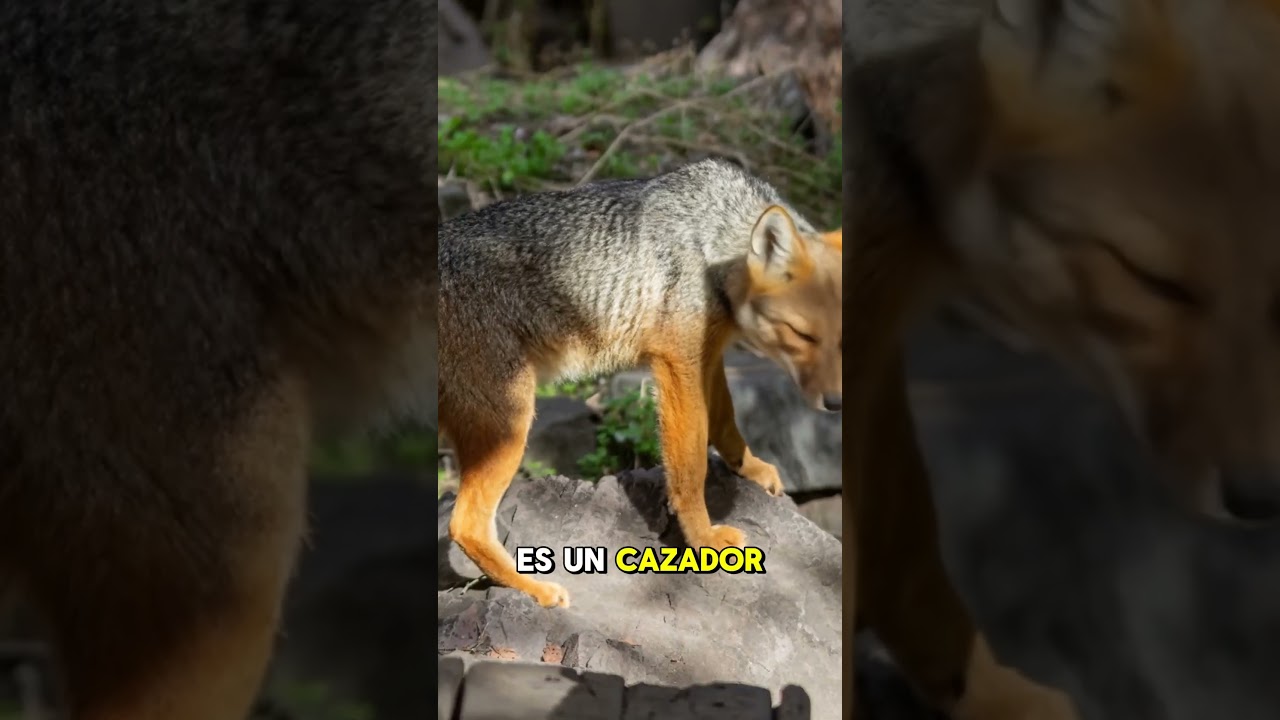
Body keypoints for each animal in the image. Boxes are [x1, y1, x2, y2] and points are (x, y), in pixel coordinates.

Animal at [439, 158, 842, 609]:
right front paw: (705, 540)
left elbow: (725, 420)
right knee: (464, 524)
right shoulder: (676, 364)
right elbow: (690, 465)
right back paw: (535, 590)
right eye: (802, 335)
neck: (711, 239)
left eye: (845, 338)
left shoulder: (707, 354)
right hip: (511, 425)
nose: (836, 402)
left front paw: (749, 468)